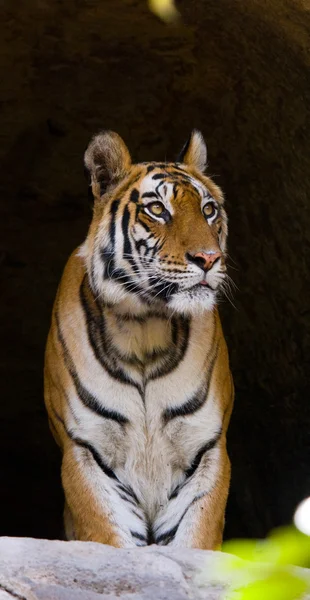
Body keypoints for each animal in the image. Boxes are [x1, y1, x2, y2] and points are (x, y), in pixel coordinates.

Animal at [43, 127, 232, 548]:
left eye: (208, 210)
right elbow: (108, 538)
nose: (209, 259)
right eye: (158, 210)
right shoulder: (86, 450)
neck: (146, 327)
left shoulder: (206, 448)